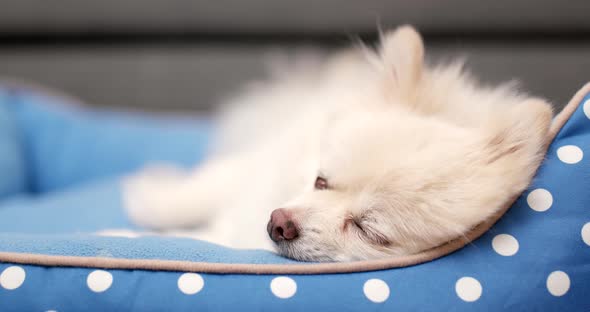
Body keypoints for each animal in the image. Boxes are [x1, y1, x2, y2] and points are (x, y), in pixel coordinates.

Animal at [121, 25, 556, 262]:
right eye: (321, 180)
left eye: (369, 230)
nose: (279, 222)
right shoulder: (261, 163)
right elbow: (207, 186)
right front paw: (150, 201)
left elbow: (197, 237)